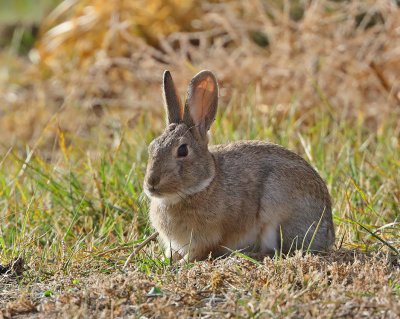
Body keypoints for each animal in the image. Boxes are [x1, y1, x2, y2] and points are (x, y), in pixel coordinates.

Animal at [144, 70, 334, 262]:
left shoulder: (206, 239)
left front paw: (180, 263)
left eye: (182, 150)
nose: (151, 182)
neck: (203, 185)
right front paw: (165, 259)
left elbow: (196, 253)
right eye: (151, 146)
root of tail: (328, 232)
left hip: (278, 209)